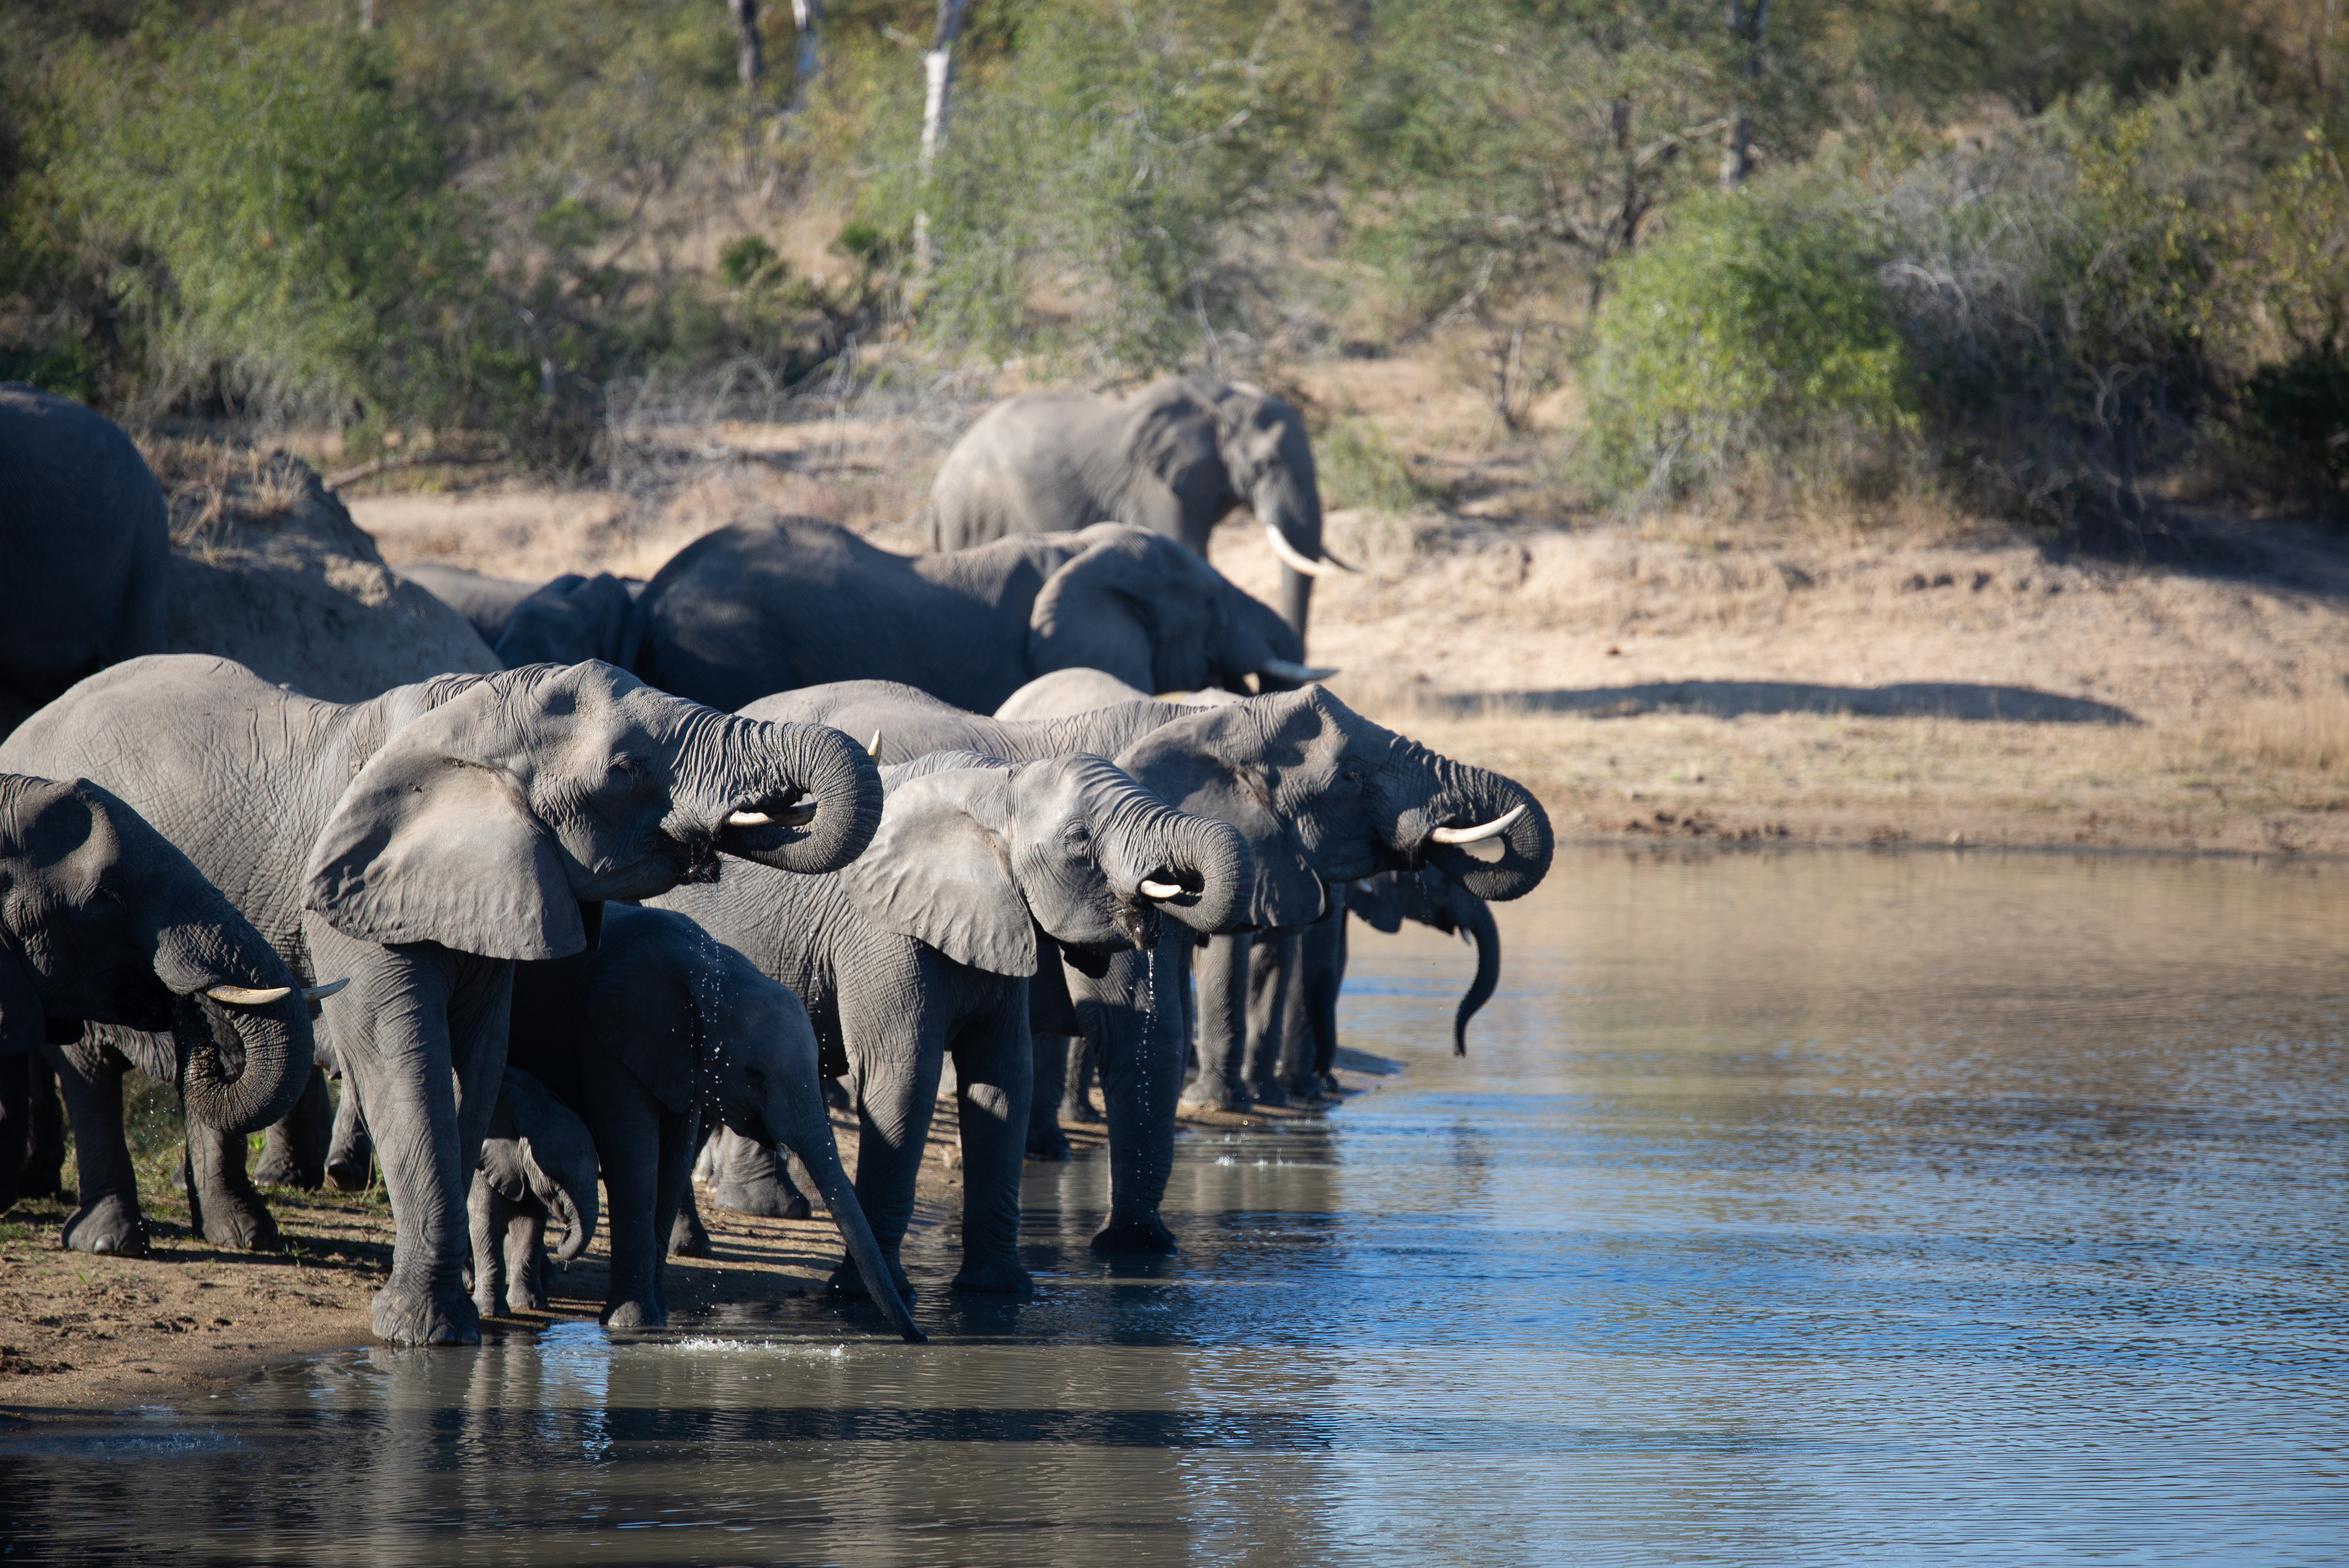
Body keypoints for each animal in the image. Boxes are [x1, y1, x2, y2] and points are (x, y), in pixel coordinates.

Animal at [467, 1067, 600, 1319]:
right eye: (557, 1180)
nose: (566, 1231)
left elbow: (531, 1222)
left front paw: (530, 1305)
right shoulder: (482, 1157)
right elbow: (486, 1217)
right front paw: (491, 1312)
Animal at [501, 903, 923, 1336]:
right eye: (754, 1073)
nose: (919, 1336)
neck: (712, 970)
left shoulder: (680, 1056)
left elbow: (673, 1156)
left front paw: (658, 1318)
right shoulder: (606, 1037)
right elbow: (633, 1151)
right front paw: (631, 1324)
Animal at [653, 750, 1252, 1300]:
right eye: (1079, 839)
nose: (1173, 892)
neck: (994, 790)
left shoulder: (1000, 925)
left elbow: (1003, 1083)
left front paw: (1000, 1292)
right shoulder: (880, 930)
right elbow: (904, 1078)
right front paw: (866, 1300)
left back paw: (684, 1248)